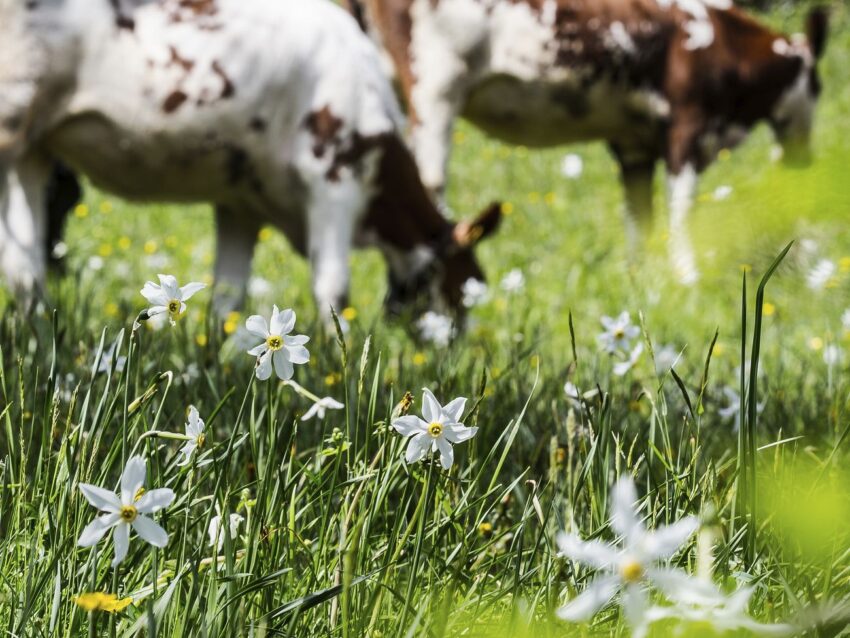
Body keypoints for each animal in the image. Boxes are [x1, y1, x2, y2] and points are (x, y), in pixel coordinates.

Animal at [0, 0, 500, 322]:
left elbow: (227, 299)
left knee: (26, 269)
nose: (452, 353)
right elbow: (333, 290)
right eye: (467, 290)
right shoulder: (335, 179)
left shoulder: (240, 203)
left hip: (32, 150)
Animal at [342, 0, 824, 282]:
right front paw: (687, 276)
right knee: (429, 180)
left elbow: (639, 218)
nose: (805, 161)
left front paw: (639, 279)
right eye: (818, 86)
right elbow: (682, 209)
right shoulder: (687, 125)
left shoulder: (634, 144)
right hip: (435, 86)